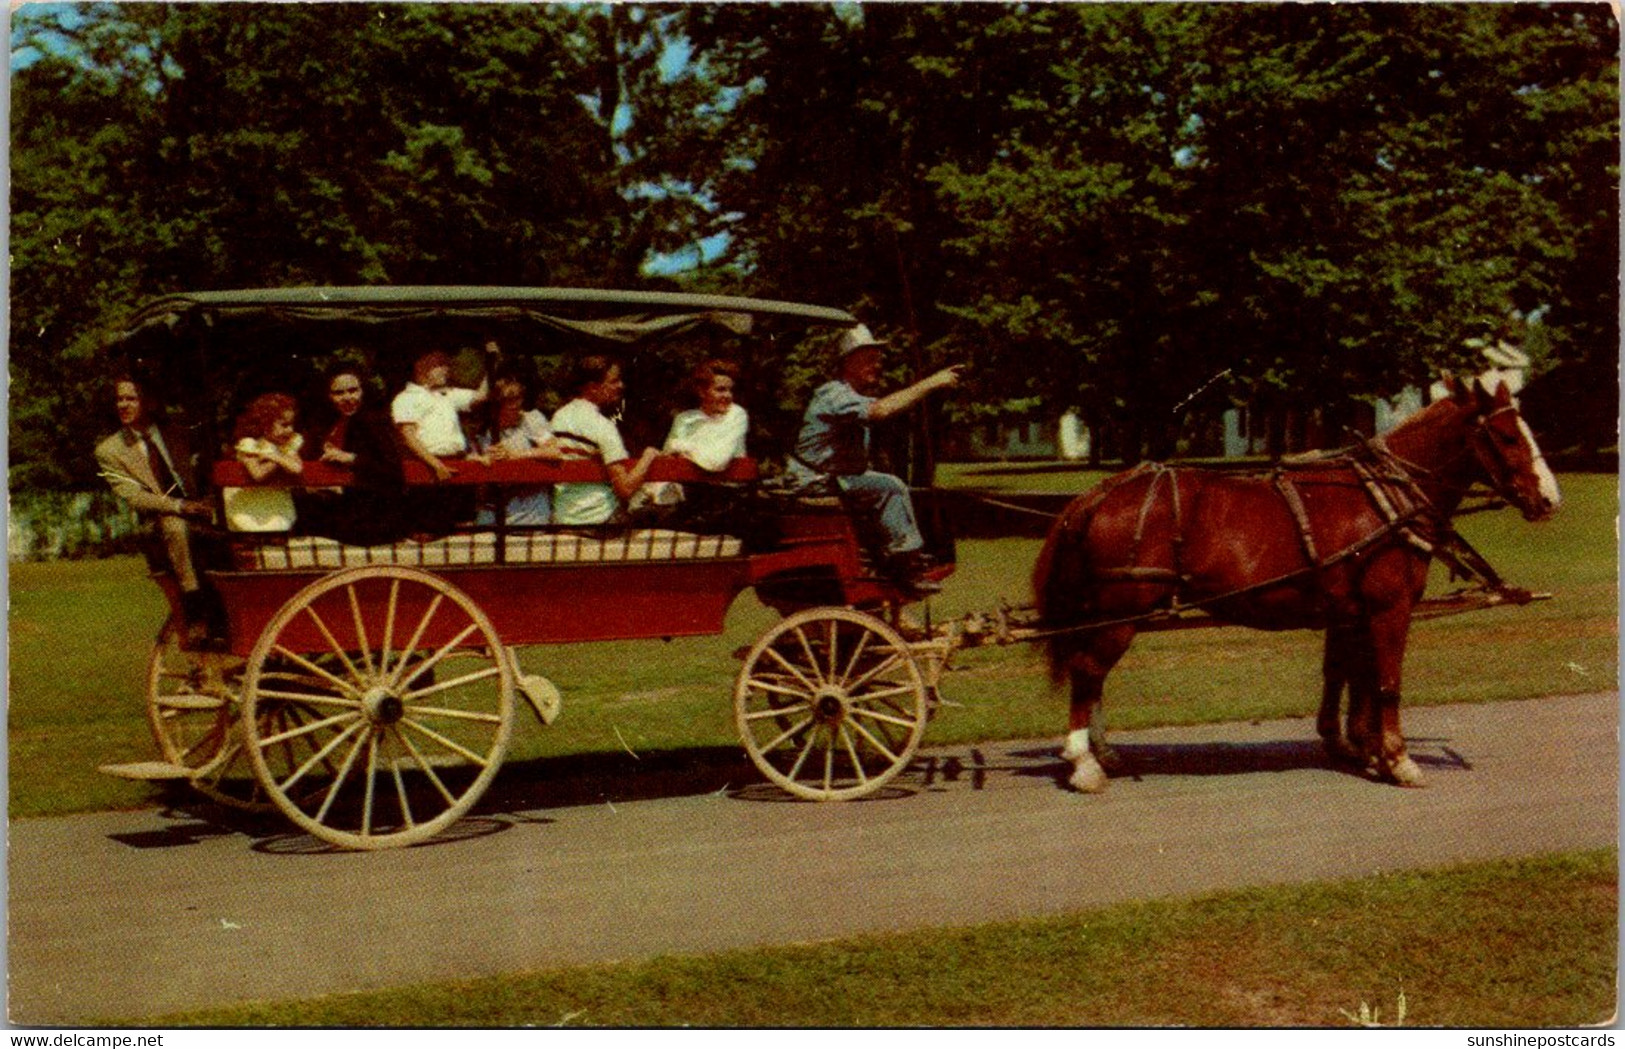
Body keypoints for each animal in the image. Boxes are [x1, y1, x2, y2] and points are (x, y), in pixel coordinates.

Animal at [1040, 373, 1560, 792]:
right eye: (1508, 436)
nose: (1550, 499)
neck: (1382, 500)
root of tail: (1098, 494)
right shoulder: (1389, 608)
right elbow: (1386, 681)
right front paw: (1397, 758)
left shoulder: (1351, 612)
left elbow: (1350, 676)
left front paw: (1360, 748)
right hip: (1120, 611)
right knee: (1088, 670)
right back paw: (1084, 762)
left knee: (1093, 675)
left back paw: (1104, 752)